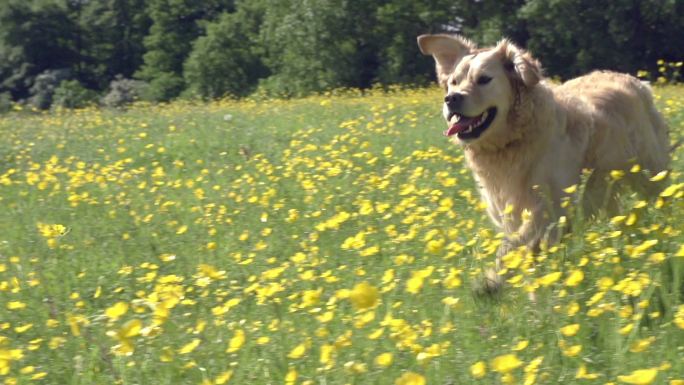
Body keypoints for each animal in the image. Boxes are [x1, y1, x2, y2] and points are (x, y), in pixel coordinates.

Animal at [416, 34, 668, 276]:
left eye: (484, 79)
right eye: (453, 83)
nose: (451, 99)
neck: (511, 143)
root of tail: (638, 82)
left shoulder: (551, 204)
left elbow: (513, 245)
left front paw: (490, 281)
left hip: (650, 175)